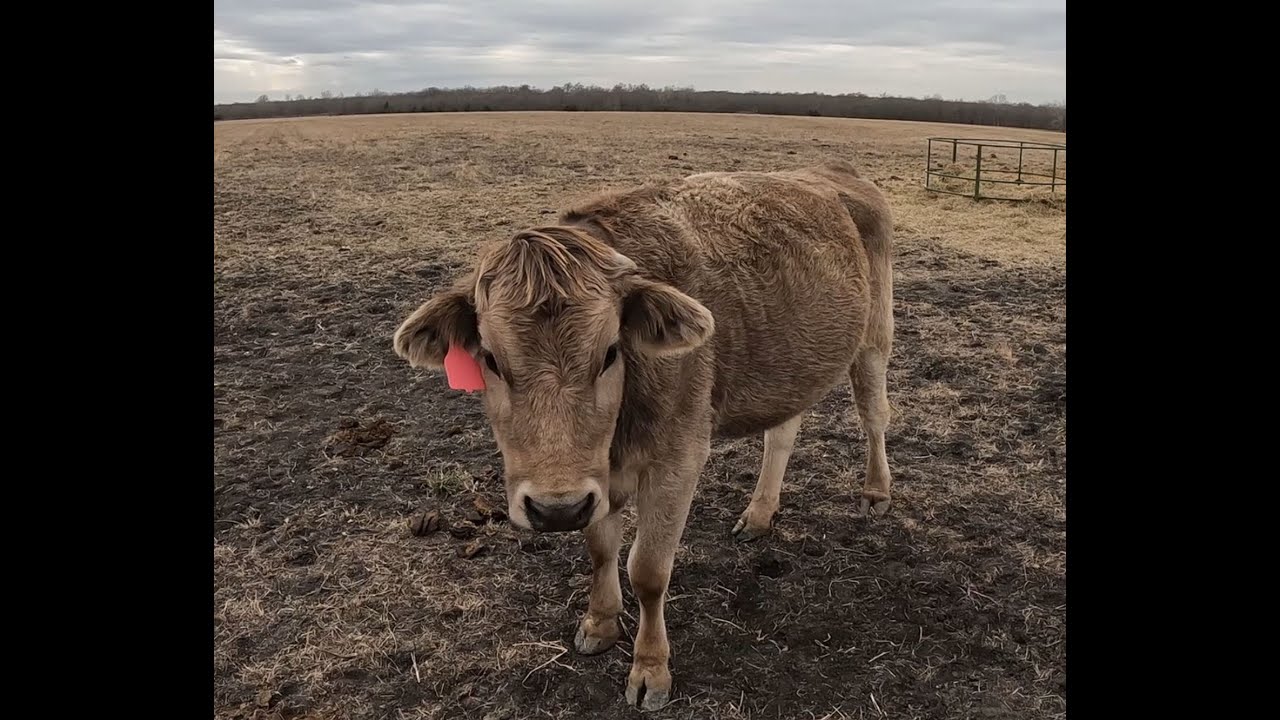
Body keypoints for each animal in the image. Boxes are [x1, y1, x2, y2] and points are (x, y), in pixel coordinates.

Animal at [392, 160, 895, 710]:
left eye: (610, 352)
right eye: (490, 359)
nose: (555, 510)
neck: (618, 431)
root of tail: (832, 171)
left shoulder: (678, 459)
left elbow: (648, 571)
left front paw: (650, 670)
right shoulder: (595, 481)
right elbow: (600, 548)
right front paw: (599, 623)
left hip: (875, 335)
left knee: (874, 414)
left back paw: (876, 491)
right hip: (791, 369)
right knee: (781, 434)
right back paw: (760, 513)